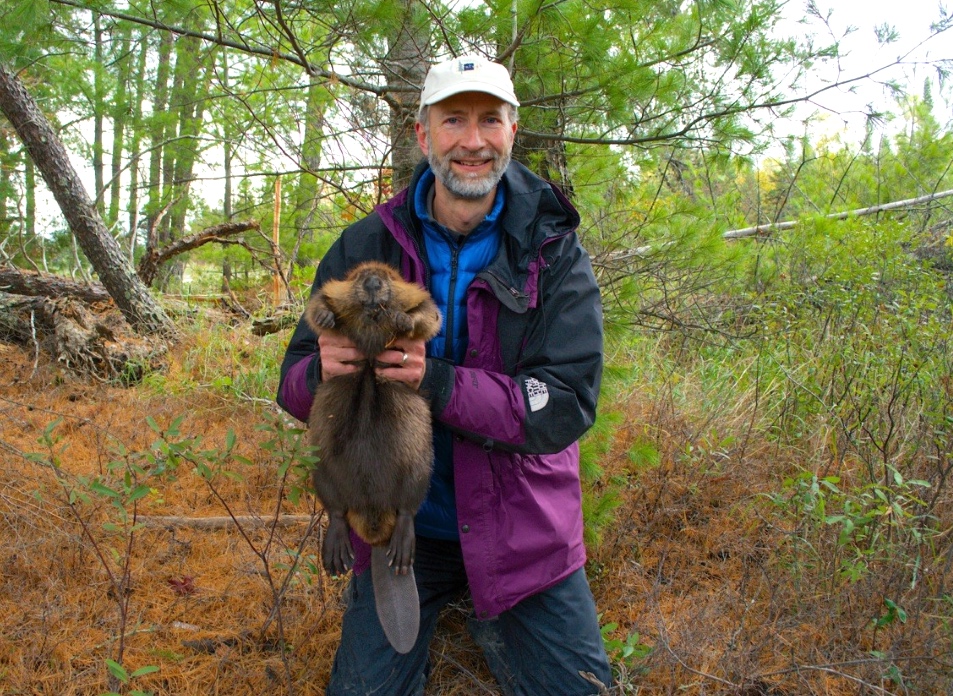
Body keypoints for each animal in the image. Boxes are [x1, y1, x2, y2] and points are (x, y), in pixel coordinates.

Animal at [302, 260, 442, 652]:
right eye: (358, 277)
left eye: (389, 277)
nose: (374, 284)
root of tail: (377, 534)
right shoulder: (331, 292)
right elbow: (316, 305)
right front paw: (328, 317)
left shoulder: (421, 300)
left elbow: (429, 314)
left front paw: (401, 319)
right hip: (321, 466)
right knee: (335, 508)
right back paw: (337, 555)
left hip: (420, 461)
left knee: (409, 506)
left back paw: (401, 551)